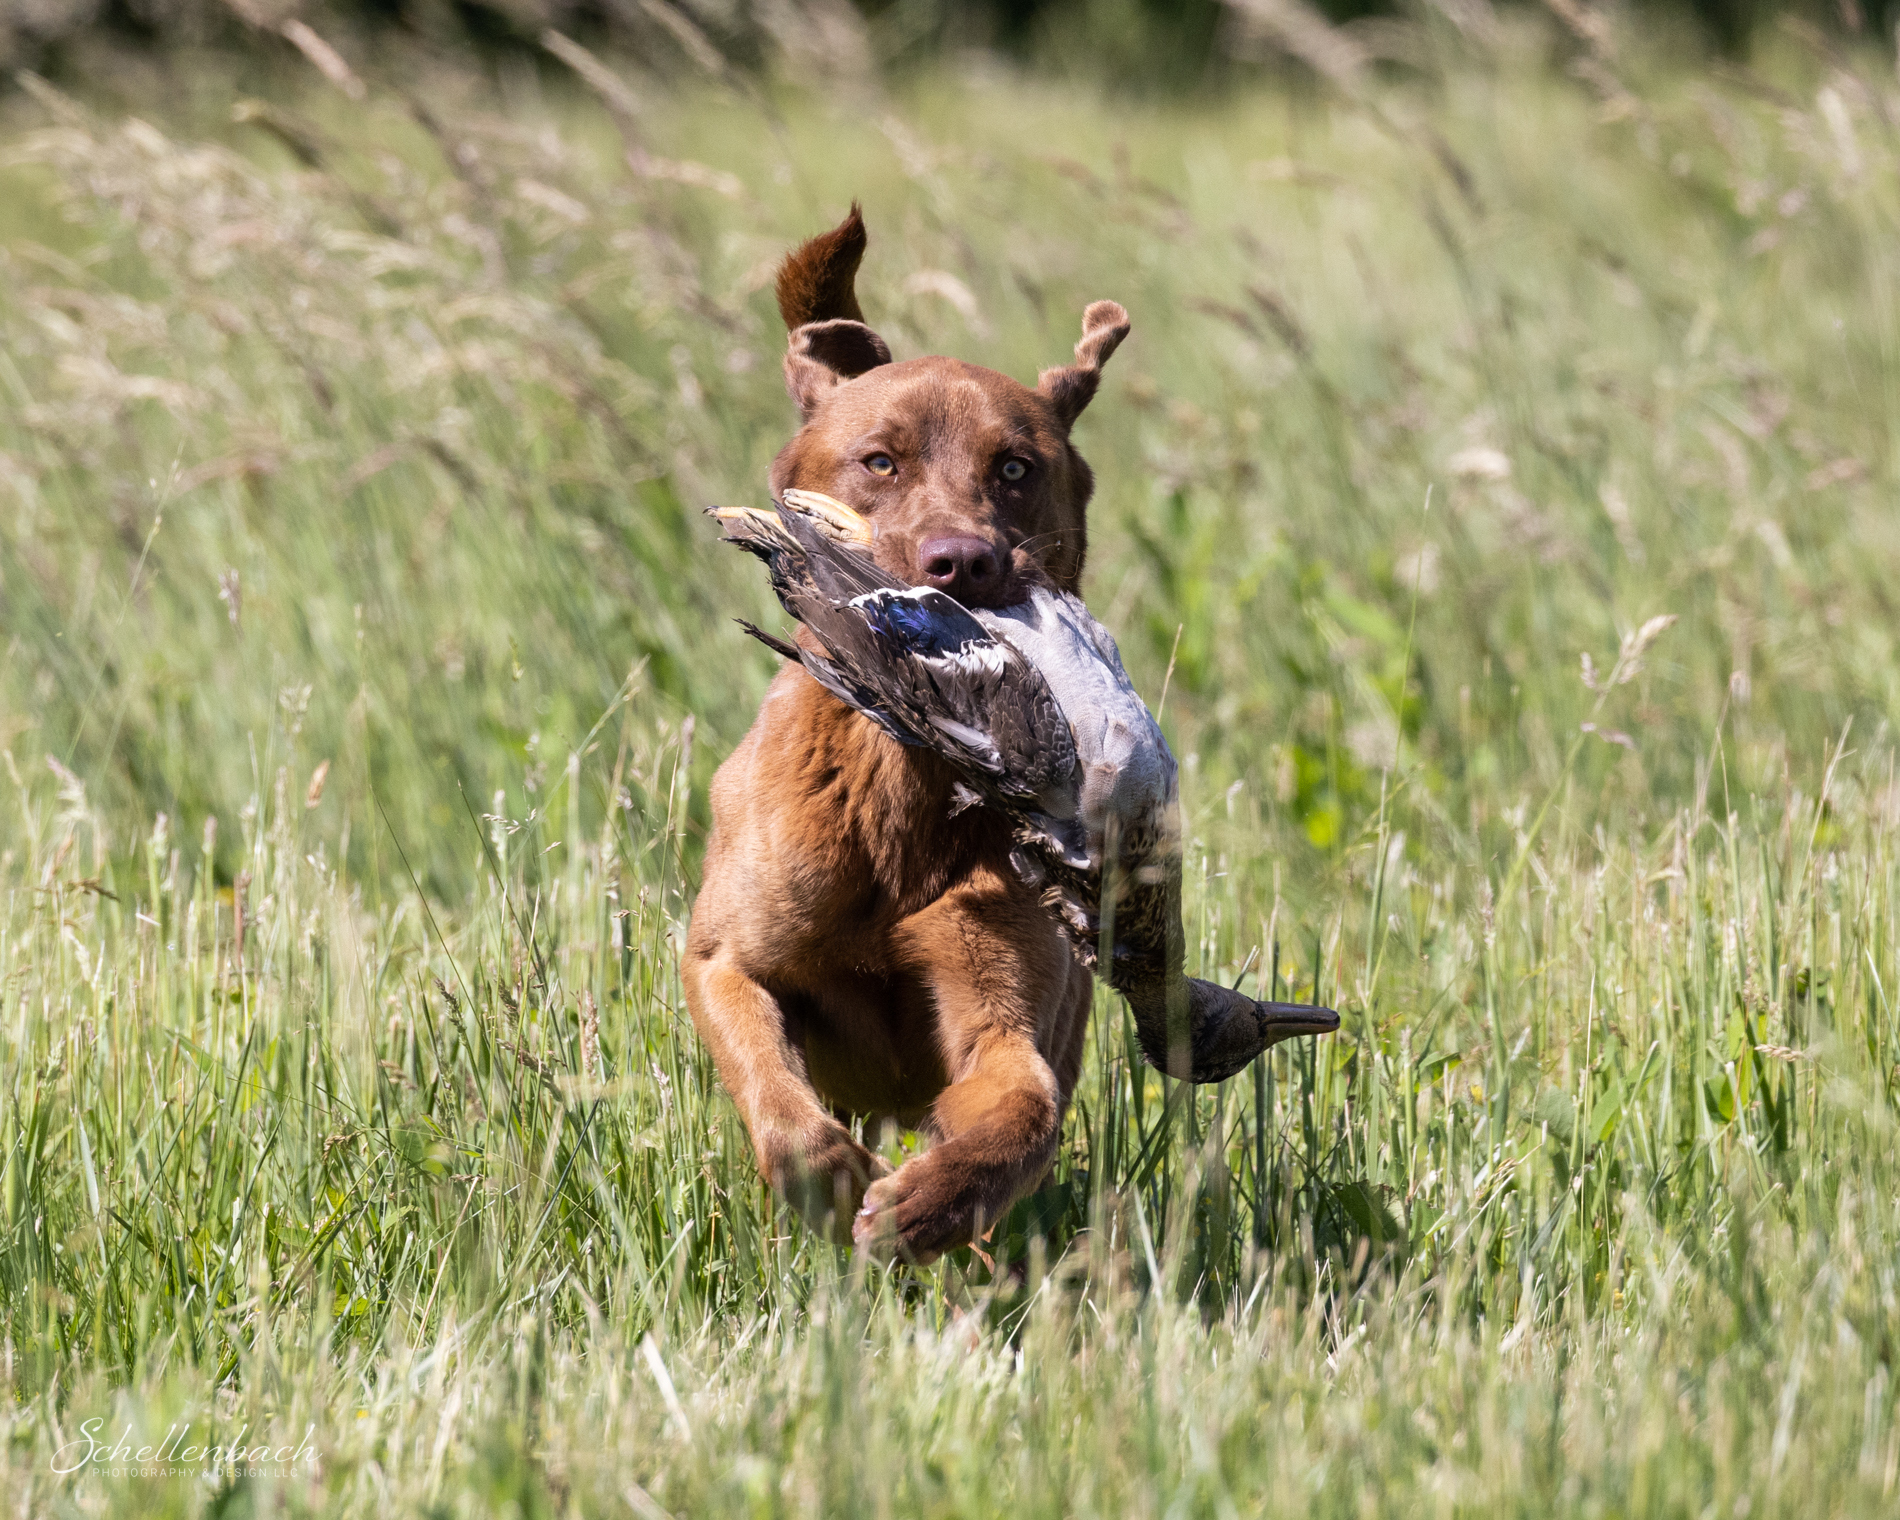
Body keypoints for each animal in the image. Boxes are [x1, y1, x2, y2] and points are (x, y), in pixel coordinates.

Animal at [683, 205, 1129, 1264]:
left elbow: (1023, 1104)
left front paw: (930, 1202)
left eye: (1015, 468)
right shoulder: (722, 957)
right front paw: (829, 1183)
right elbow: (772, 1082)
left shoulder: (1002, 996)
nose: (961, 561)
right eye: (879, 460)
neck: (902, 784)